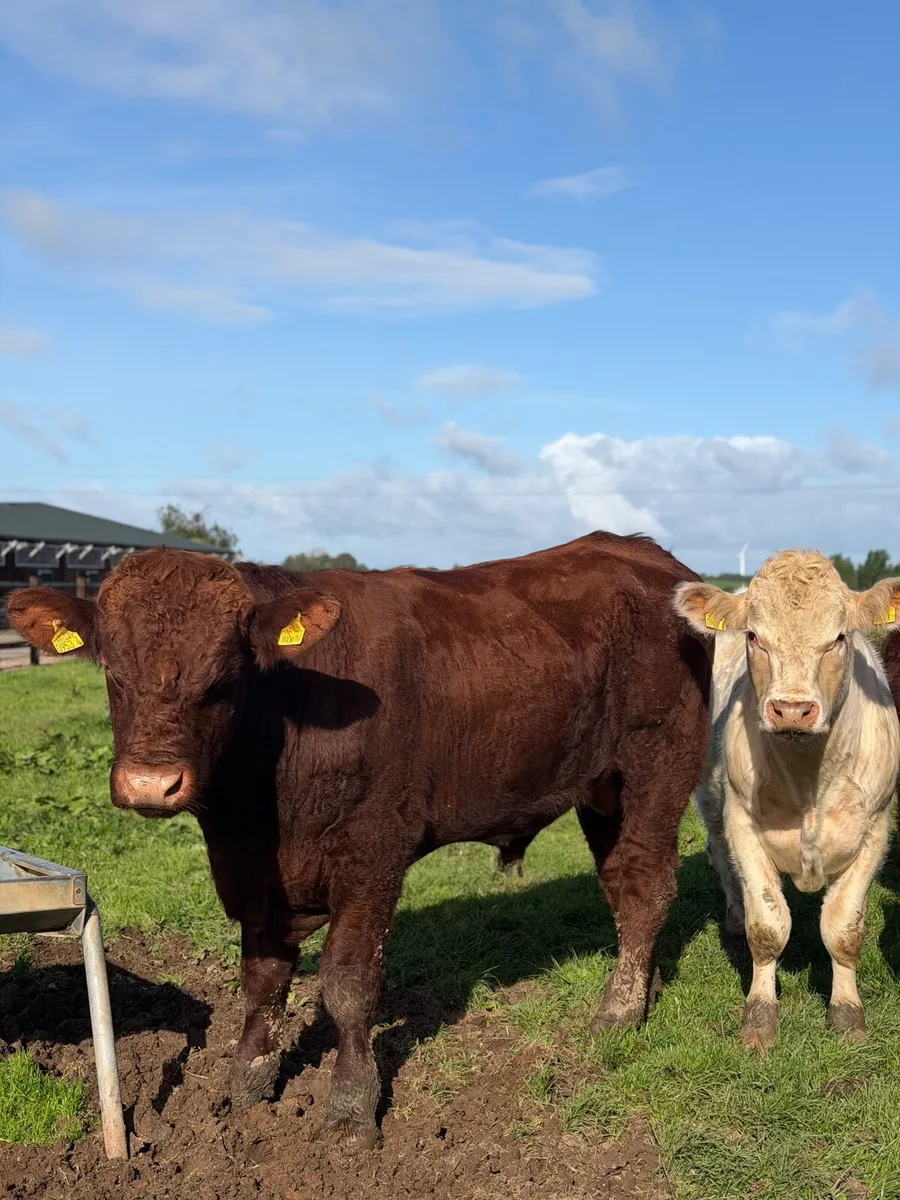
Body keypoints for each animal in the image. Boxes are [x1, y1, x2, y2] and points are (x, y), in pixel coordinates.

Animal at [10, 532, 711, 1150]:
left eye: (224, 678)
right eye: (112, 672)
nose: (151, 785)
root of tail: (645, 555)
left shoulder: (373, 852)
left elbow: (349, 983)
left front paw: (350, 1108)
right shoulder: (252, 873)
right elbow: (262, 978)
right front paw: (247, 1083)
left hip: (656, 767)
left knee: (646, 887)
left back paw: (616, 1014)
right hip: (602, 789)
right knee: (621, 884)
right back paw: (641, 990)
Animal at [675, 550, 900, 1052]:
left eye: (838, 638)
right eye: (754, 636)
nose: (792, 710)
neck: (809, 779)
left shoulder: (875, 830)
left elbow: (843, 929)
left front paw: (847, 1014)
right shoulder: (742, 822)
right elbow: (768, 926)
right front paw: (759, 1017)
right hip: (711, 802)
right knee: (720, 858)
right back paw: (734, 914)